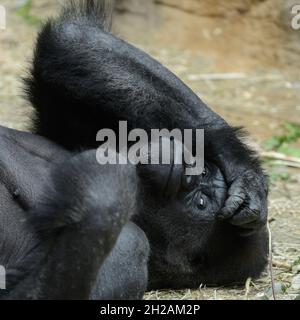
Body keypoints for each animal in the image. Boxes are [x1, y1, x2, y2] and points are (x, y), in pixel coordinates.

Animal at [0, 0, 268, 300]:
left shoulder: (131, 250)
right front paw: (242, 169)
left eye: (200, 203)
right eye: (205, 173)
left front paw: (107, 186)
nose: (190, 174)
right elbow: (70, 41)